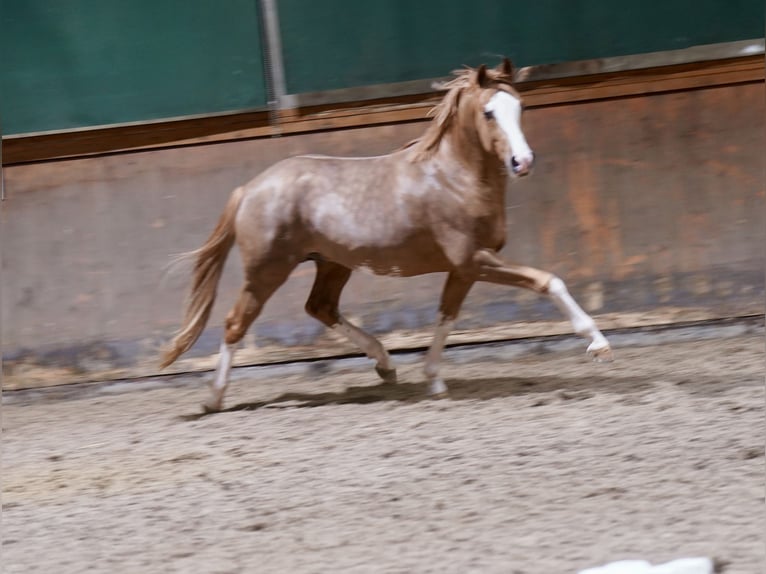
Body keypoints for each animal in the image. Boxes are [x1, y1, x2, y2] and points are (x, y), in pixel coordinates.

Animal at [160, 59, 612, 414]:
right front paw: (597, 343)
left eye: (520, 106)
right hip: (266, 271)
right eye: (488, 112)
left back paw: (386, 365)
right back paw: (213, 399)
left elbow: (446, 316)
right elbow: (548, 281)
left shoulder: (464, 269)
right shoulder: (474, 260)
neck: (454, 177)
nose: (523, 162)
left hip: (333, 263)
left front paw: (434, 381)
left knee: (320, 307)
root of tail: (250, 188)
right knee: (236, 323)